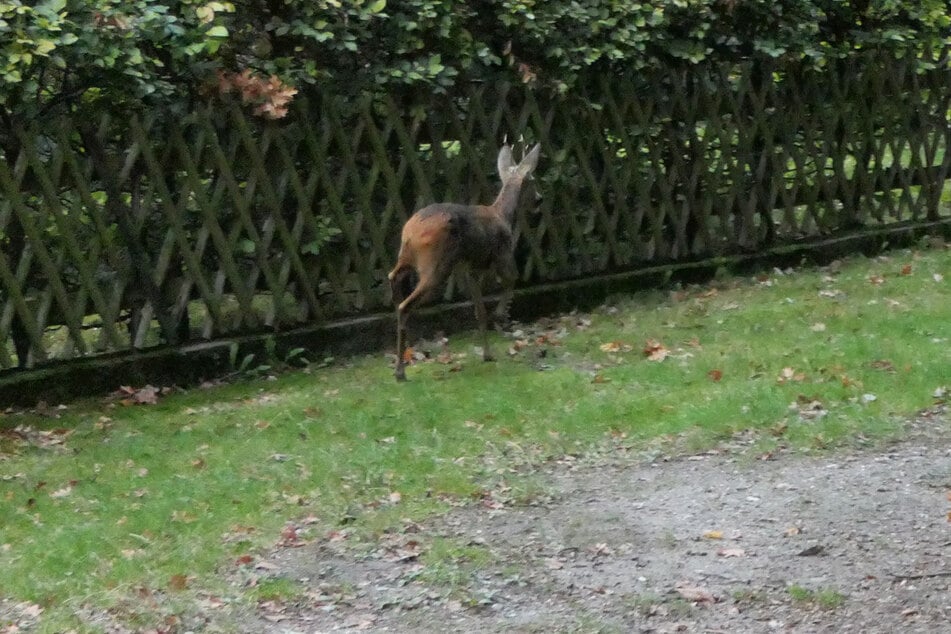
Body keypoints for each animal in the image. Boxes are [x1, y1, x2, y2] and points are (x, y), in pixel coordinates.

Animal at [384, 142, 536, 380]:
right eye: (533, 180)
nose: (539, 199)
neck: (503, 215)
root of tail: (410, 232)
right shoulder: (502, 255)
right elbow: (512, 279)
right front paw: (500, 315)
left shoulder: (469, 269)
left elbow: (479, 310)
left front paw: (487, 354)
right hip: (436, 265)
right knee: (405, 305)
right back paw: (400, 371)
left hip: (406, 256)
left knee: (393, 276)